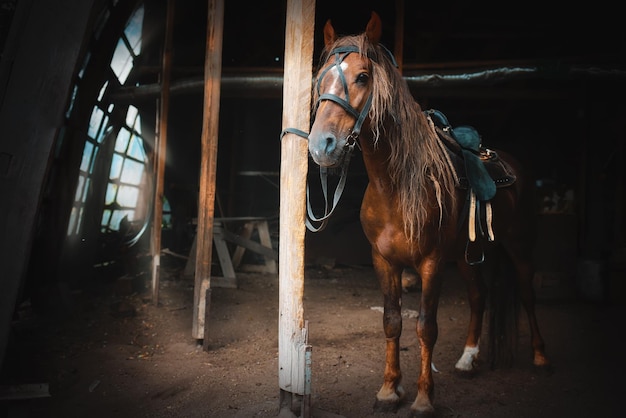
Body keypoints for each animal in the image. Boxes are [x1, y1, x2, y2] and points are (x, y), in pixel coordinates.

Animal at [304, 11, 548, 416]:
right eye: (320, 78)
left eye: (363, 77)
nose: (321, 145)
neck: (396, 187)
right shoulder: (383, 261)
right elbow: (391, 322)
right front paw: (389, 390)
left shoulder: (431, 263)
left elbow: (425, 327)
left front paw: (423, 398)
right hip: (467, 257)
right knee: (479, 296)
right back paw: (467, 359)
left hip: (520, 246)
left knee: (527, 294)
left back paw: (541, 357)